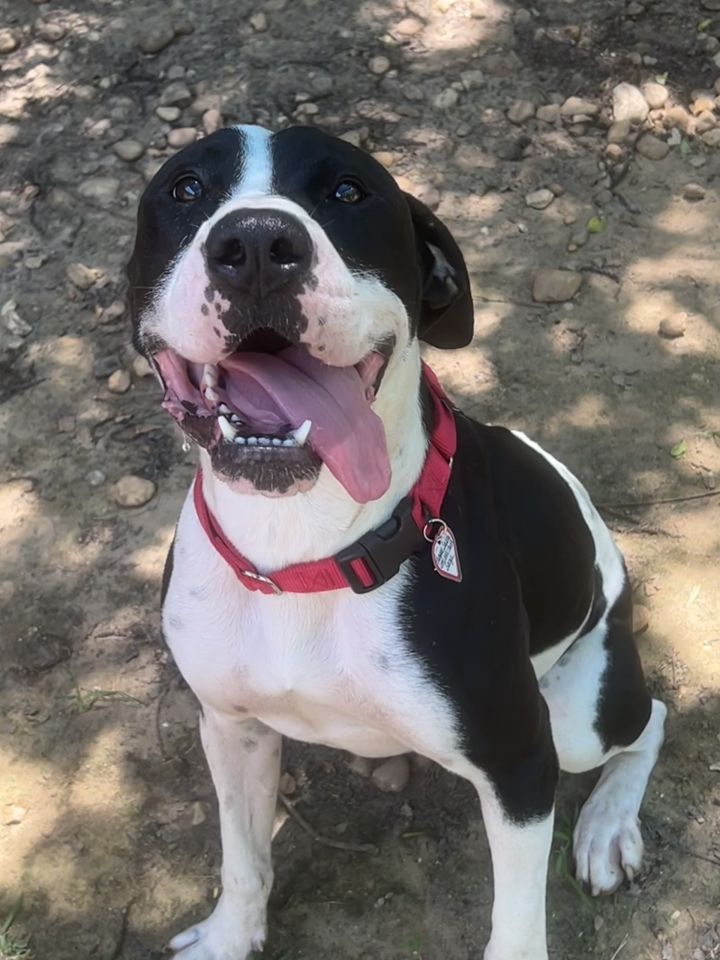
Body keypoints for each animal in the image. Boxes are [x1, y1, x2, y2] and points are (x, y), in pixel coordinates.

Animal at [126, 127, 668, 960]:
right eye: (185, 189)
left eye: (349, 192)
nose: (257, 243)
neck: (308, 552)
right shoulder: (231, 725)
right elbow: (243, 857)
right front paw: (229, 936)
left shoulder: (520, 761)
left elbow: (517, 927)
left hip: (578, 722)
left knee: (653, 720)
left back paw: (608, 826)